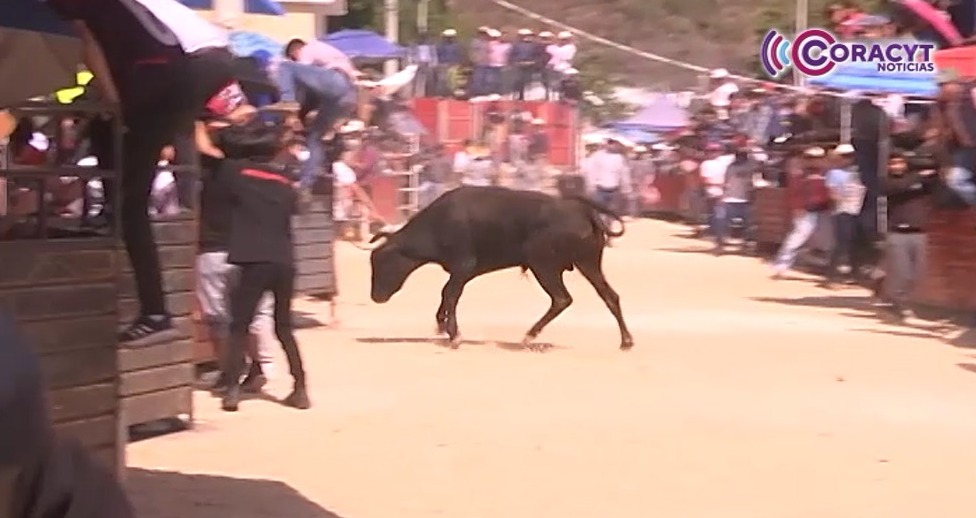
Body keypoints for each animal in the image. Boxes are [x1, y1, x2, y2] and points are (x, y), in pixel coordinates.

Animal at [364, 185, 632, 352]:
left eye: (381, 261)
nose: (375, 297)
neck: (439, 222)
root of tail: (583, 210)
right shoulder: (462, 271)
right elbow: (446, 294)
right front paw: (442, 327)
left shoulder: (463, 266)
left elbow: (450, 294)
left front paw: (454, 336)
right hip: (587, 263)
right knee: (610, 296)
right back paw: (626, 341)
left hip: (544, 266)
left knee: (562, 298)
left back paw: (528, 336)